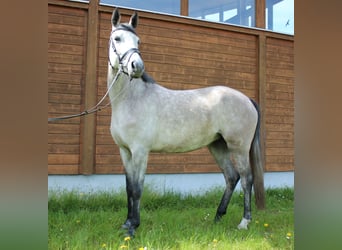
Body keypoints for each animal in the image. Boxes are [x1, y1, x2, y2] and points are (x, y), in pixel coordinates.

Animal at [107, 8, 264, 236]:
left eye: (138, 41)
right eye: (117, 38)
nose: (137, 66)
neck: (131, 99)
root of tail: (247, 99)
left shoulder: (140, 151)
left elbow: (137, 189)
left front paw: (133, 227)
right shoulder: (124, 151)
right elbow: (128, 188)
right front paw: (126, 224)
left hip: (239, 147)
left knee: (246, 179)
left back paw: (244, 222)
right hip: (217, 145)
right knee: (231, 176)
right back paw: (217, 217)